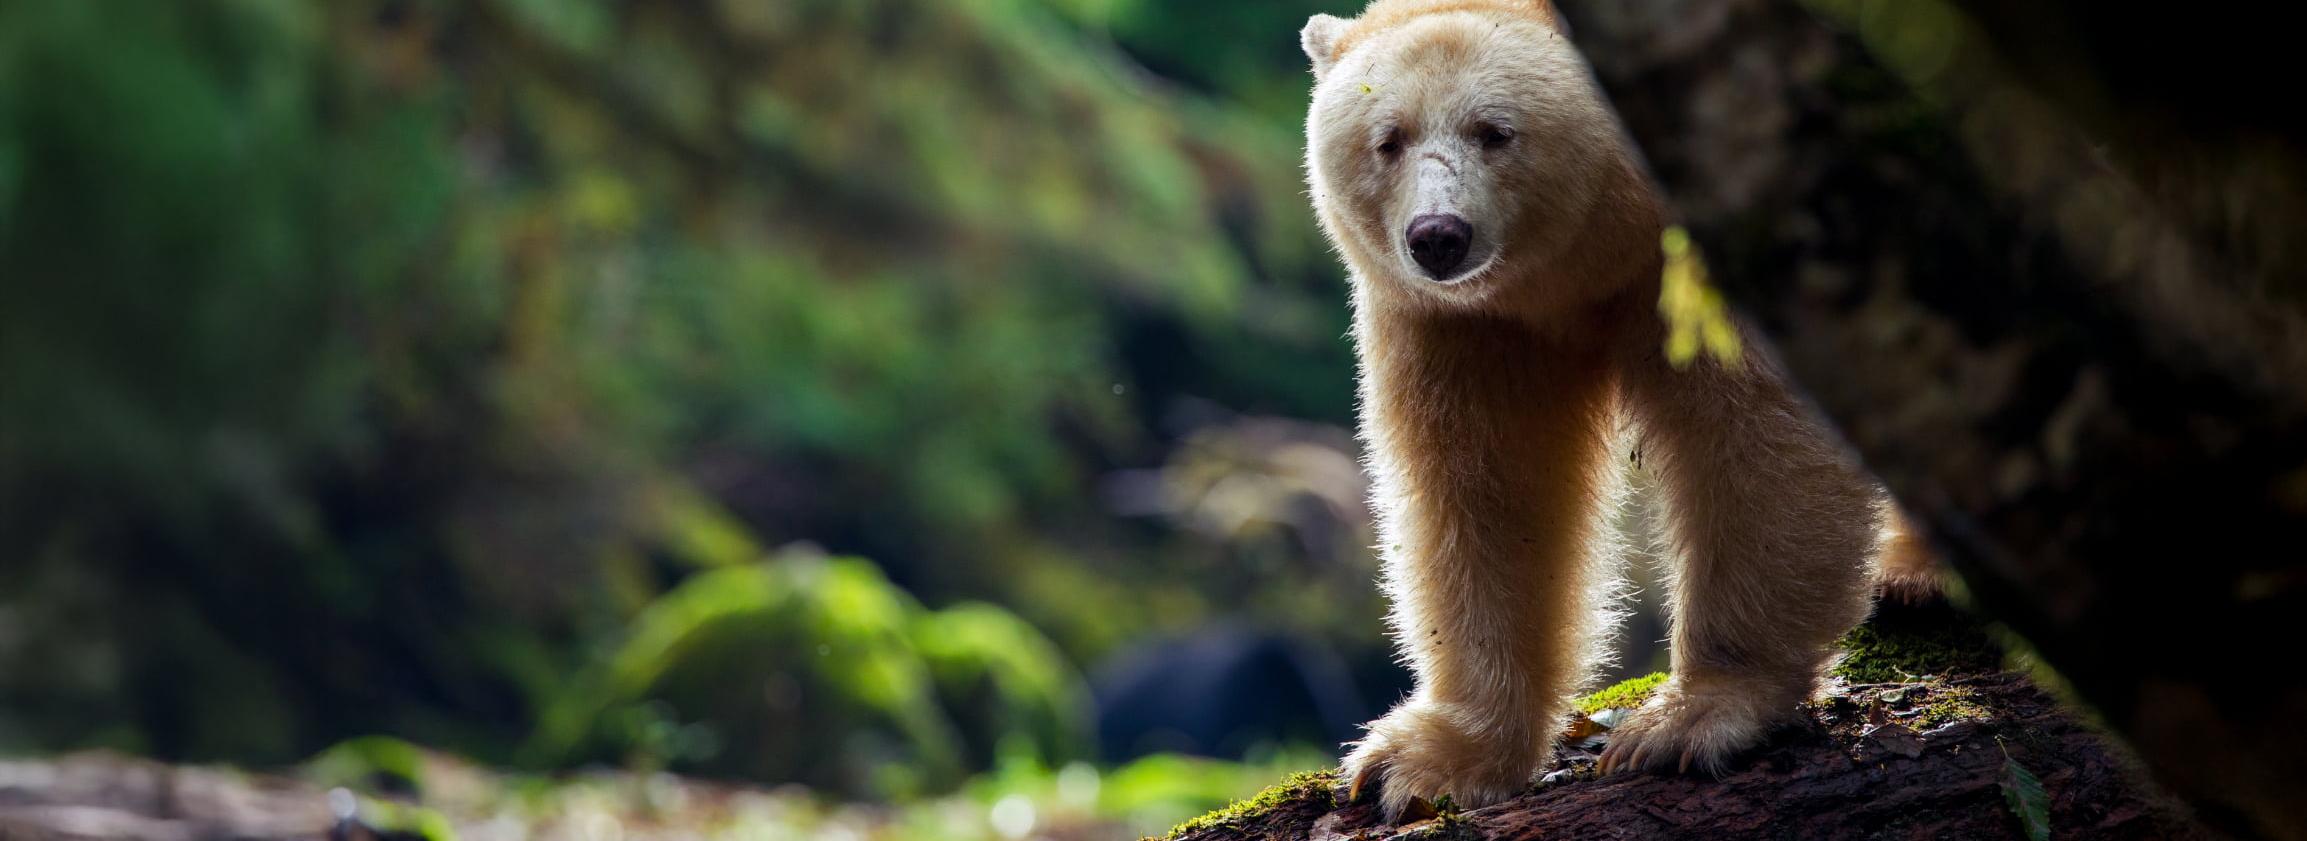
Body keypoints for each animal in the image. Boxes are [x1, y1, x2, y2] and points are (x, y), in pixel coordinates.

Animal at [1299, 0, 1932, 817]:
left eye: (1494, 130)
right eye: (1389, 139)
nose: (1437, 237)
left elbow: (1760, 441)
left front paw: (1688, 719)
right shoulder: (1466, 327)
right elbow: (1485, 491)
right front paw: (1424, 760)